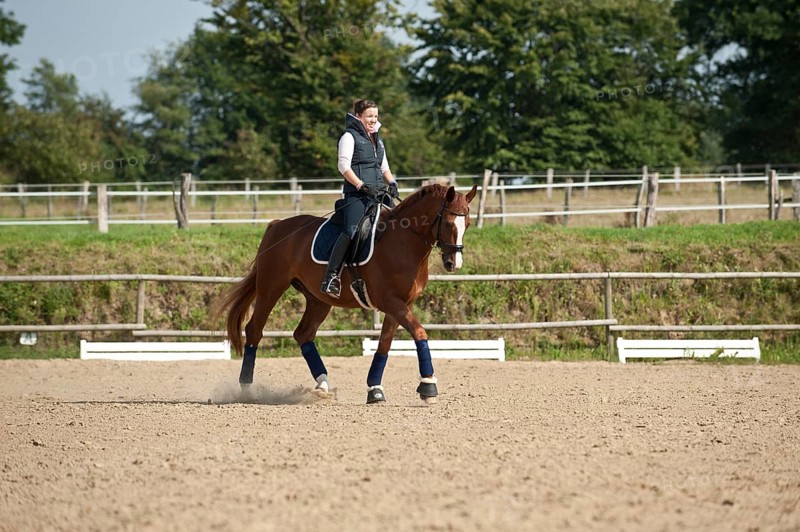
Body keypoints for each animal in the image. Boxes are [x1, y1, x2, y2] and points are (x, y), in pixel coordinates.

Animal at [214, 183, 478, 404]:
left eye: (468, 225)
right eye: (448, 223)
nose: (454, 264)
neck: (403, 242)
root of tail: (277, 224)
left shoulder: (401, 304)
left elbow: (384, 344)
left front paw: (375, 390)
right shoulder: (390, 301)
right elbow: (420, 332)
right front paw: (428, 386)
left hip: (318, 300)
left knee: (303, 334)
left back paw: (322, 386)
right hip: (271, 287)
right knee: (254, 330)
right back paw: (247, 390)